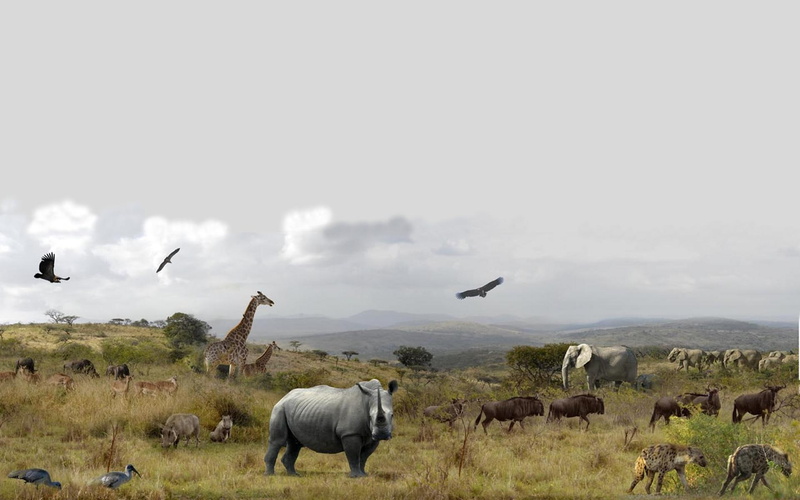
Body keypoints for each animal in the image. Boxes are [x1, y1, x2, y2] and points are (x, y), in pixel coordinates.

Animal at [264, 379, 398, 478]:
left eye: (392, 415)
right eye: (370, 416)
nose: (382, 434)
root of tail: (284, 397)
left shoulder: (371, 437)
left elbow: (364, 457)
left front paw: (364, 475)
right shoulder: (350, 433)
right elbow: (354, 455)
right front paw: (356, 477)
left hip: (295, 411)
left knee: (295, 444)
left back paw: (294, 475)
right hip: (279, 408)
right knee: (278, 441)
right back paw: (270, 475)